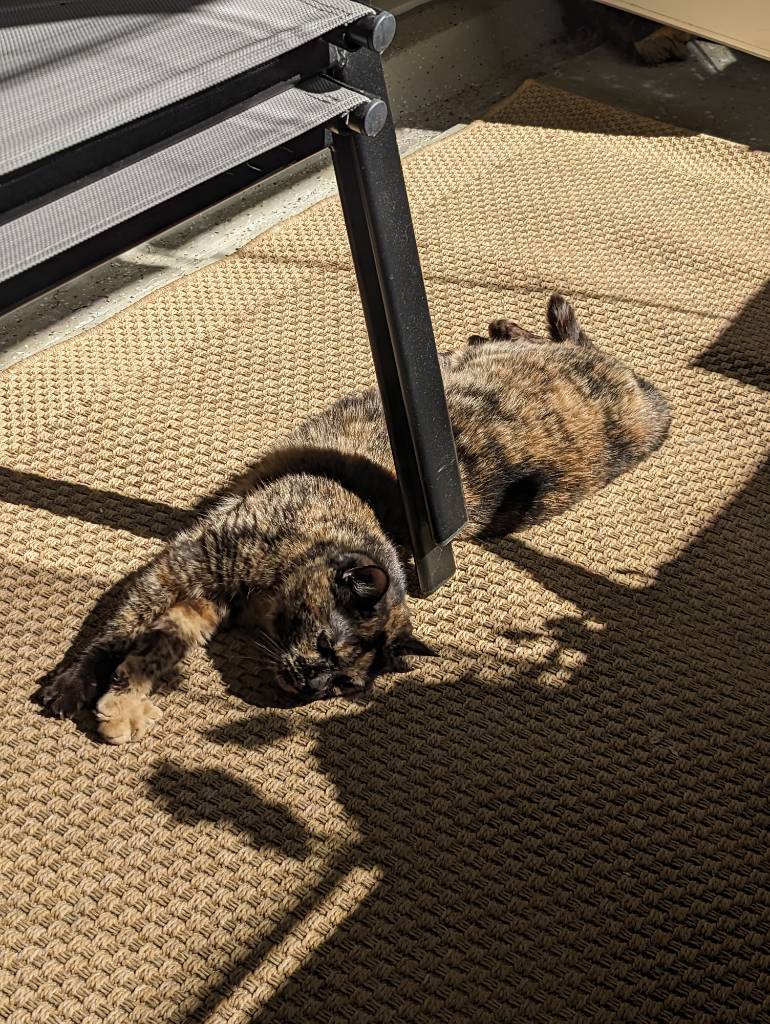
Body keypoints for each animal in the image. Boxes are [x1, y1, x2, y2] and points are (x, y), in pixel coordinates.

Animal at [39, 296, 671, 745]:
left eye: (342, 686)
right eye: (324, 645)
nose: (307, 686)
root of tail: (632, 397)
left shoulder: (198, 599)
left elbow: (154, 649)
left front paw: (122, 706)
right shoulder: (185, 567)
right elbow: (118, 634)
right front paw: (74, 687)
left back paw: (505, 325)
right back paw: (503, 326)